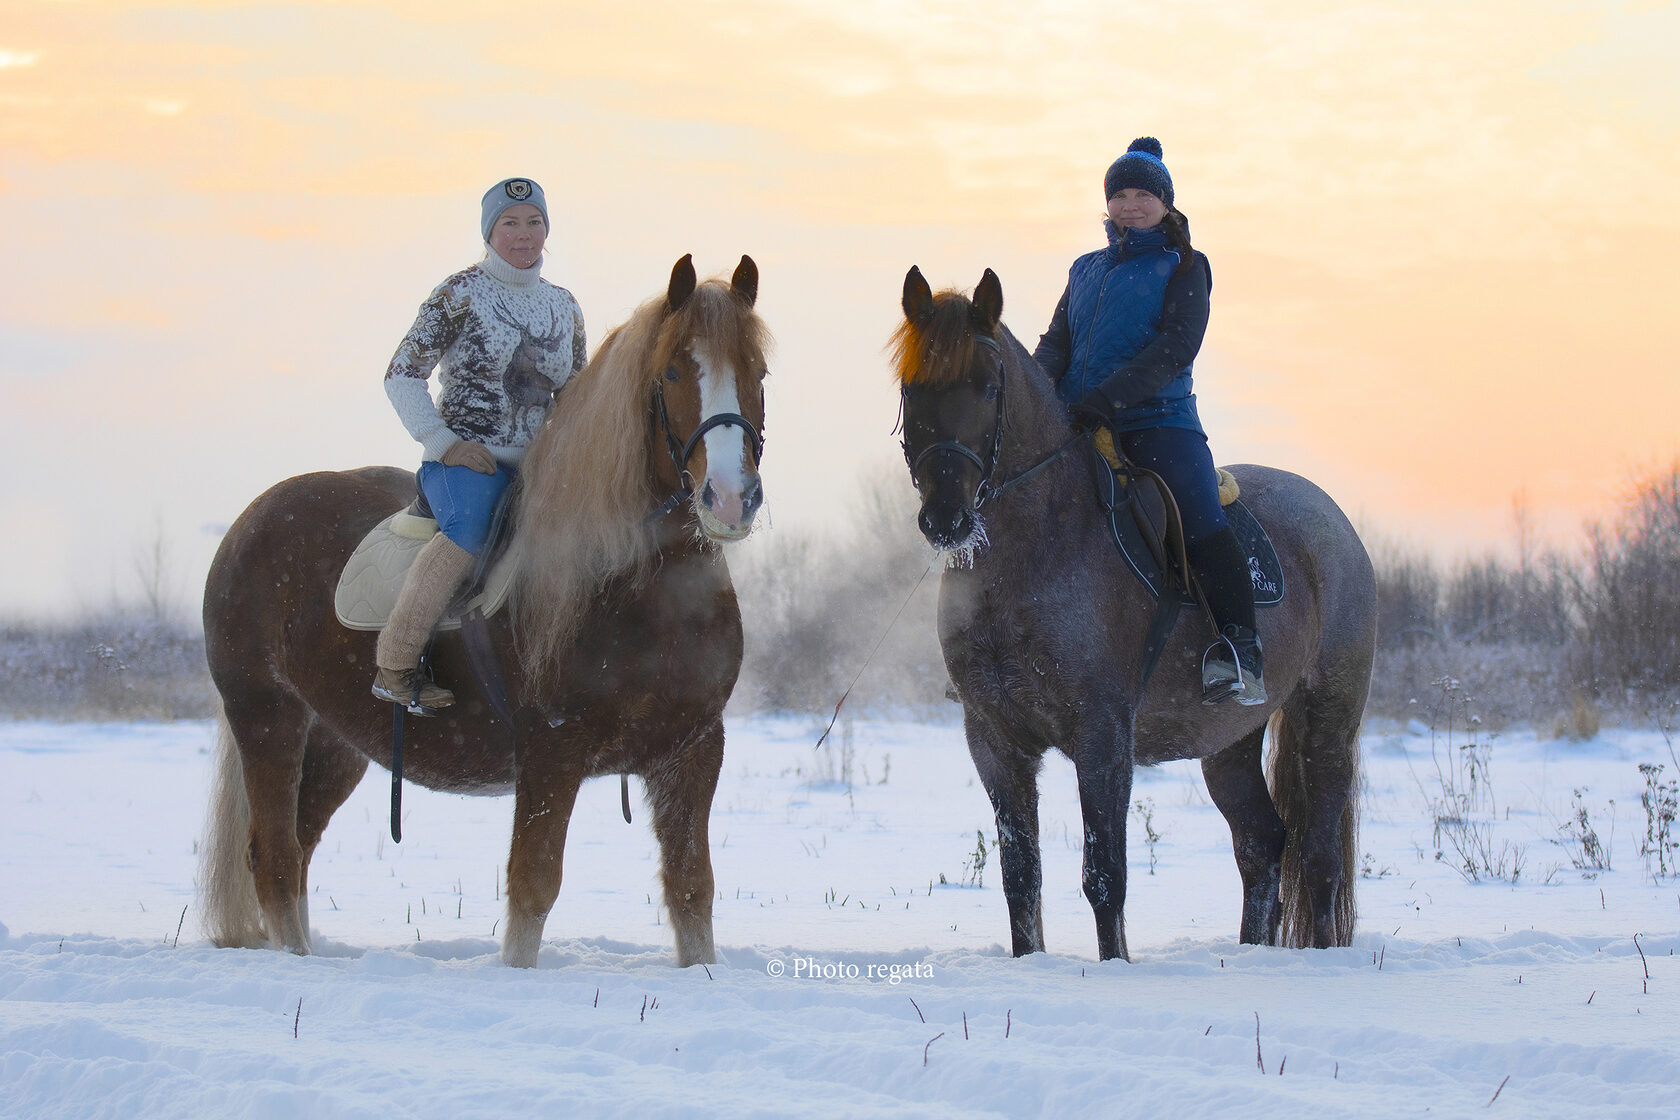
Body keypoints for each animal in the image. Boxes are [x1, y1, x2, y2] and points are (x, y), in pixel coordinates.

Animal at [196, 251, 769, 967]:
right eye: (671, 372)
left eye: (758, 372)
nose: (729, 498)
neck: (643, 592)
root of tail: (251, 520)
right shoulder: (552, 751)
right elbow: (532, 887)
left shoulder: (693, 751)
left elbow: (693, 890)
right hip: (267, 716)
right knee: (273, 860)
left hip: (334, 740)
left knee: (296, 852)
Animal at [893, 268, 1377, 967]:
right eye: (912, 387)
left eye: (987, 387)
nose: (945, 519)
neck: (1039, 546)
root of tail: (1334, 520)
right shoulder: (995, 740)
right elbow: (1020, 877)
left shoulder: (1102, 736)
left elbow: (1105, 876)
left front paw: (1115, 968)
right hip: (1229, 743)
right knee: (1262, 845)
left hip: (1328, 717)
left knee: (1318, 855)